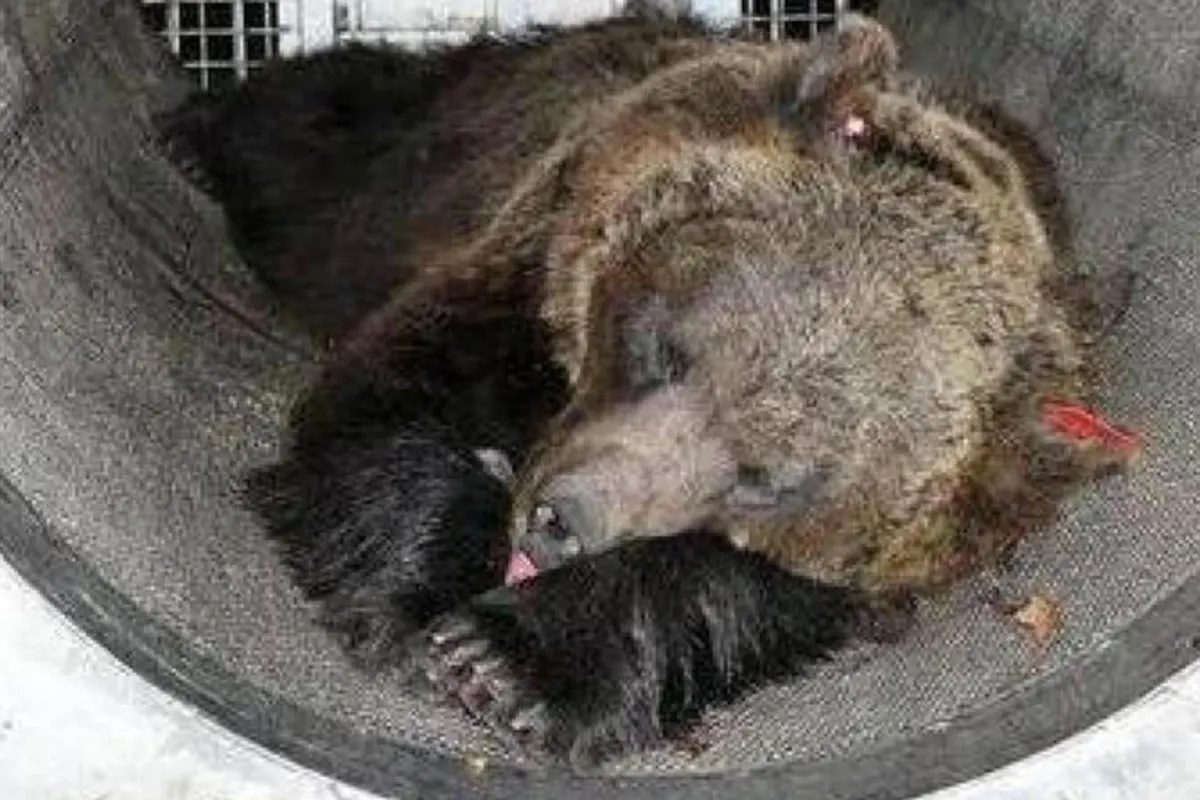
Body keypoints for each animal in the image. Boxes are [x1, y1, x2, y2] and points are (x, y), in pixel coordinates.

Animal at [159, 8, 1138, 768]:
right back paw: (198, 131)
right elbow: (393, 401)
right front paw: (423, 599)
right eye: (667, 349)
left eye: (763, 478)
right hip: (420, 153)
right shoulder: (520, 265)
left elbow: (743, 587)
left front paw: (505, 661)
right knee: (324, 140)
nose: (560, 521)